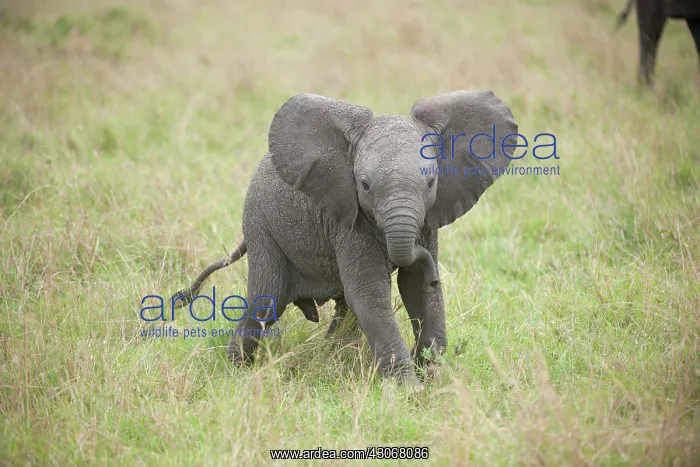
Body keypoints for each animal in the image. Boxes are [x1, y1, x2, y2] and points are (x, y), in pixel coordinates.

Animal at [169, 90, 518, 388]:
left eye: (431, 183)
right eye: (364, 185)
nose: (436, 275)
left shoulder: (428, 221)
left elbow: (415, 288)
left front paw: (431, 378)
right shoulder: (349, 222)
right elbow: (369, 292)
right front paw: (409, 389)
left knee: (339, 309)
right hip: (261, 228)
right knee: (265, 301)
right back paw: (235, 372)